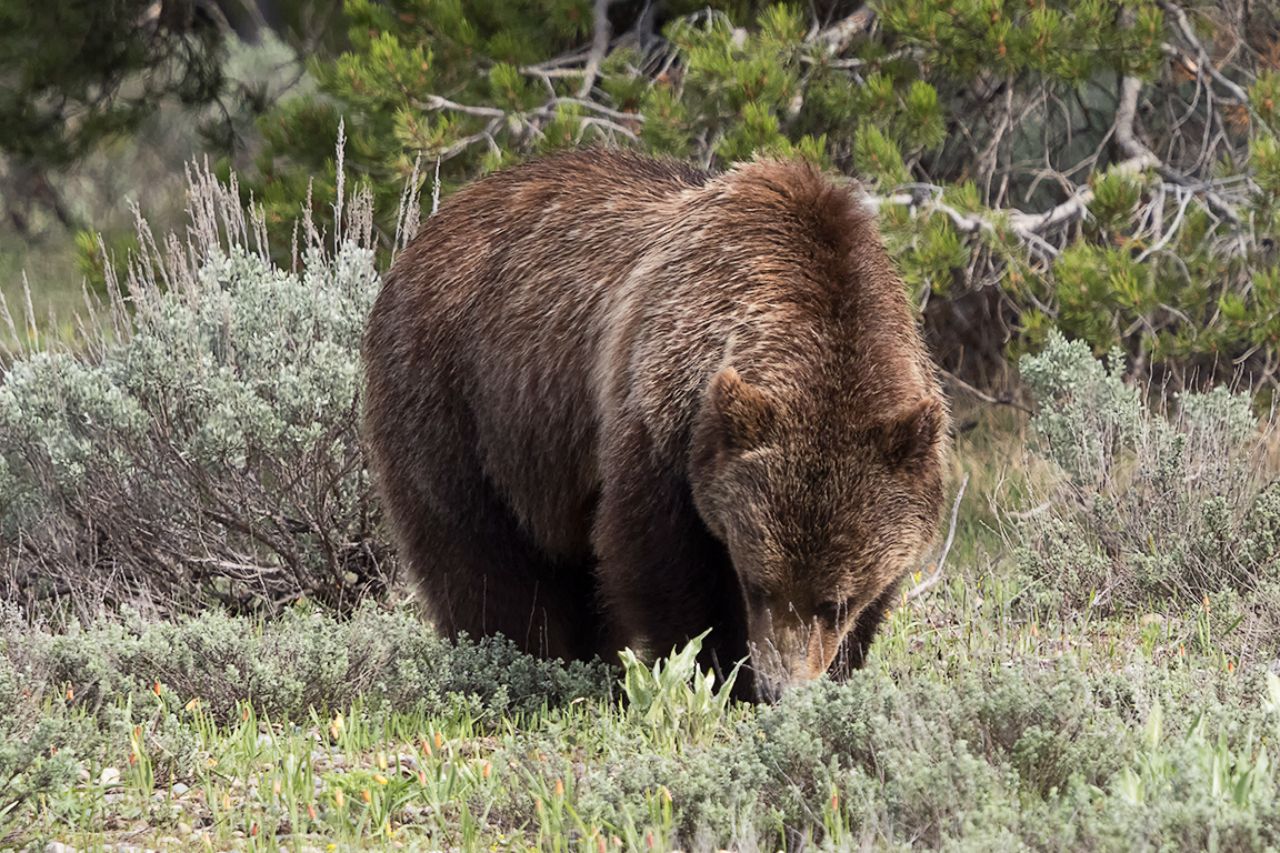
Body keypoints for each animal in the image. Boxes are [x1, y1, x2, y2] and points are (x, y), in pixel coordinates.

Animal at [362, 149, 949, 701]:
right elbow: (661, 568)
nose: (780, 688)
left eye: (835, 601)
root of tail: (436, 222)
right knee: (478, 552)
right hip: (460, 396)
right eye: (757, 584)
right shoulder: (662, 420)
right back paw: (523, 660)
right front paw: (718, 672)